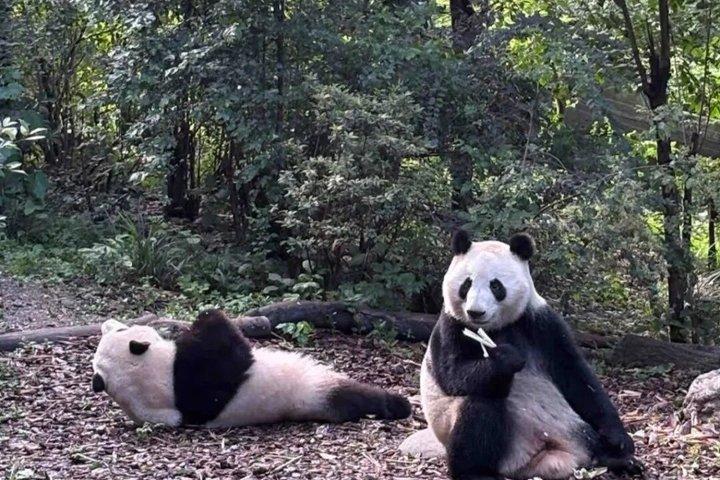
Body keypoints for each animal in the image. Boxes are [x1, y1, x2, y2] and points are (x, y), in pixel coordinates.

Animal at [92, 309, 411, 427]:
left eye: (118, 330)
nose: (109, 322)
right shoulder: (186, 378)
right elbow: (228, 350)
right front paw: (206, 317)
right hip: (314, 391)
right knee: (356, 397)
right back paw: (399, 404)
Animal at [420, 230, 642, 480]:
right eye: (466, 284)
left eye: (496, 286)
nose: (475, 312)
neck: (495, 328)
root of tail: (546, 458)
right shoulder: (451, 325)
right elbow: (452, 374)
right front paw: (506, 358)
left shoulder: (538, 321)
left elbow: (577, 377)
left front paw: (620, 440)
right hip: (497, 444)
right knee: (481, 403)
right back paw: (475, 472)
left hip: (572, 427)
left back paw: (618, 459)